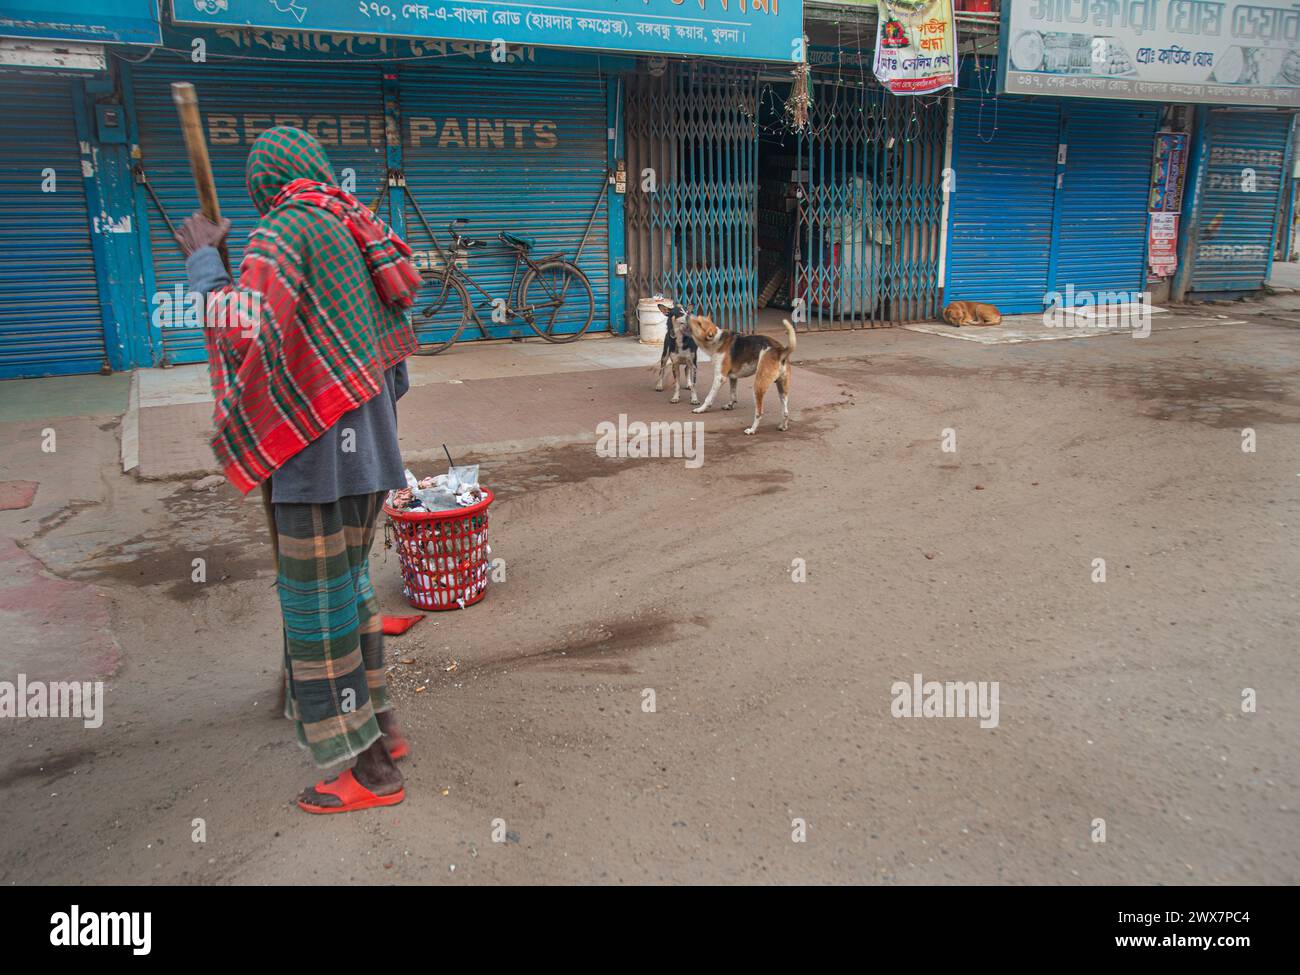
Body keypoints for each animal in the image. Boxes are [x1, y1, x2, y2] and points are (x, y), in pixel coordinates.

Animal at [665, 306, 795, 436]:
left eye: (699, 323)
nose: (687, 313)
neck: (717, 341)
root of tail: (780, 351)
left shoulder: (720, 378)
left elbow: (709, 397)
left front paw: (701, 409)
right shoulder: (733, 377)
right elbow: (733, 394)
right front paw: (730, 405)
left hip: (758, 387)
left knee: (759, 412)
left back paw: (752, 429)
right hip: (782, 389)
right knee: (786, 411)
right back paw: (783, 426)